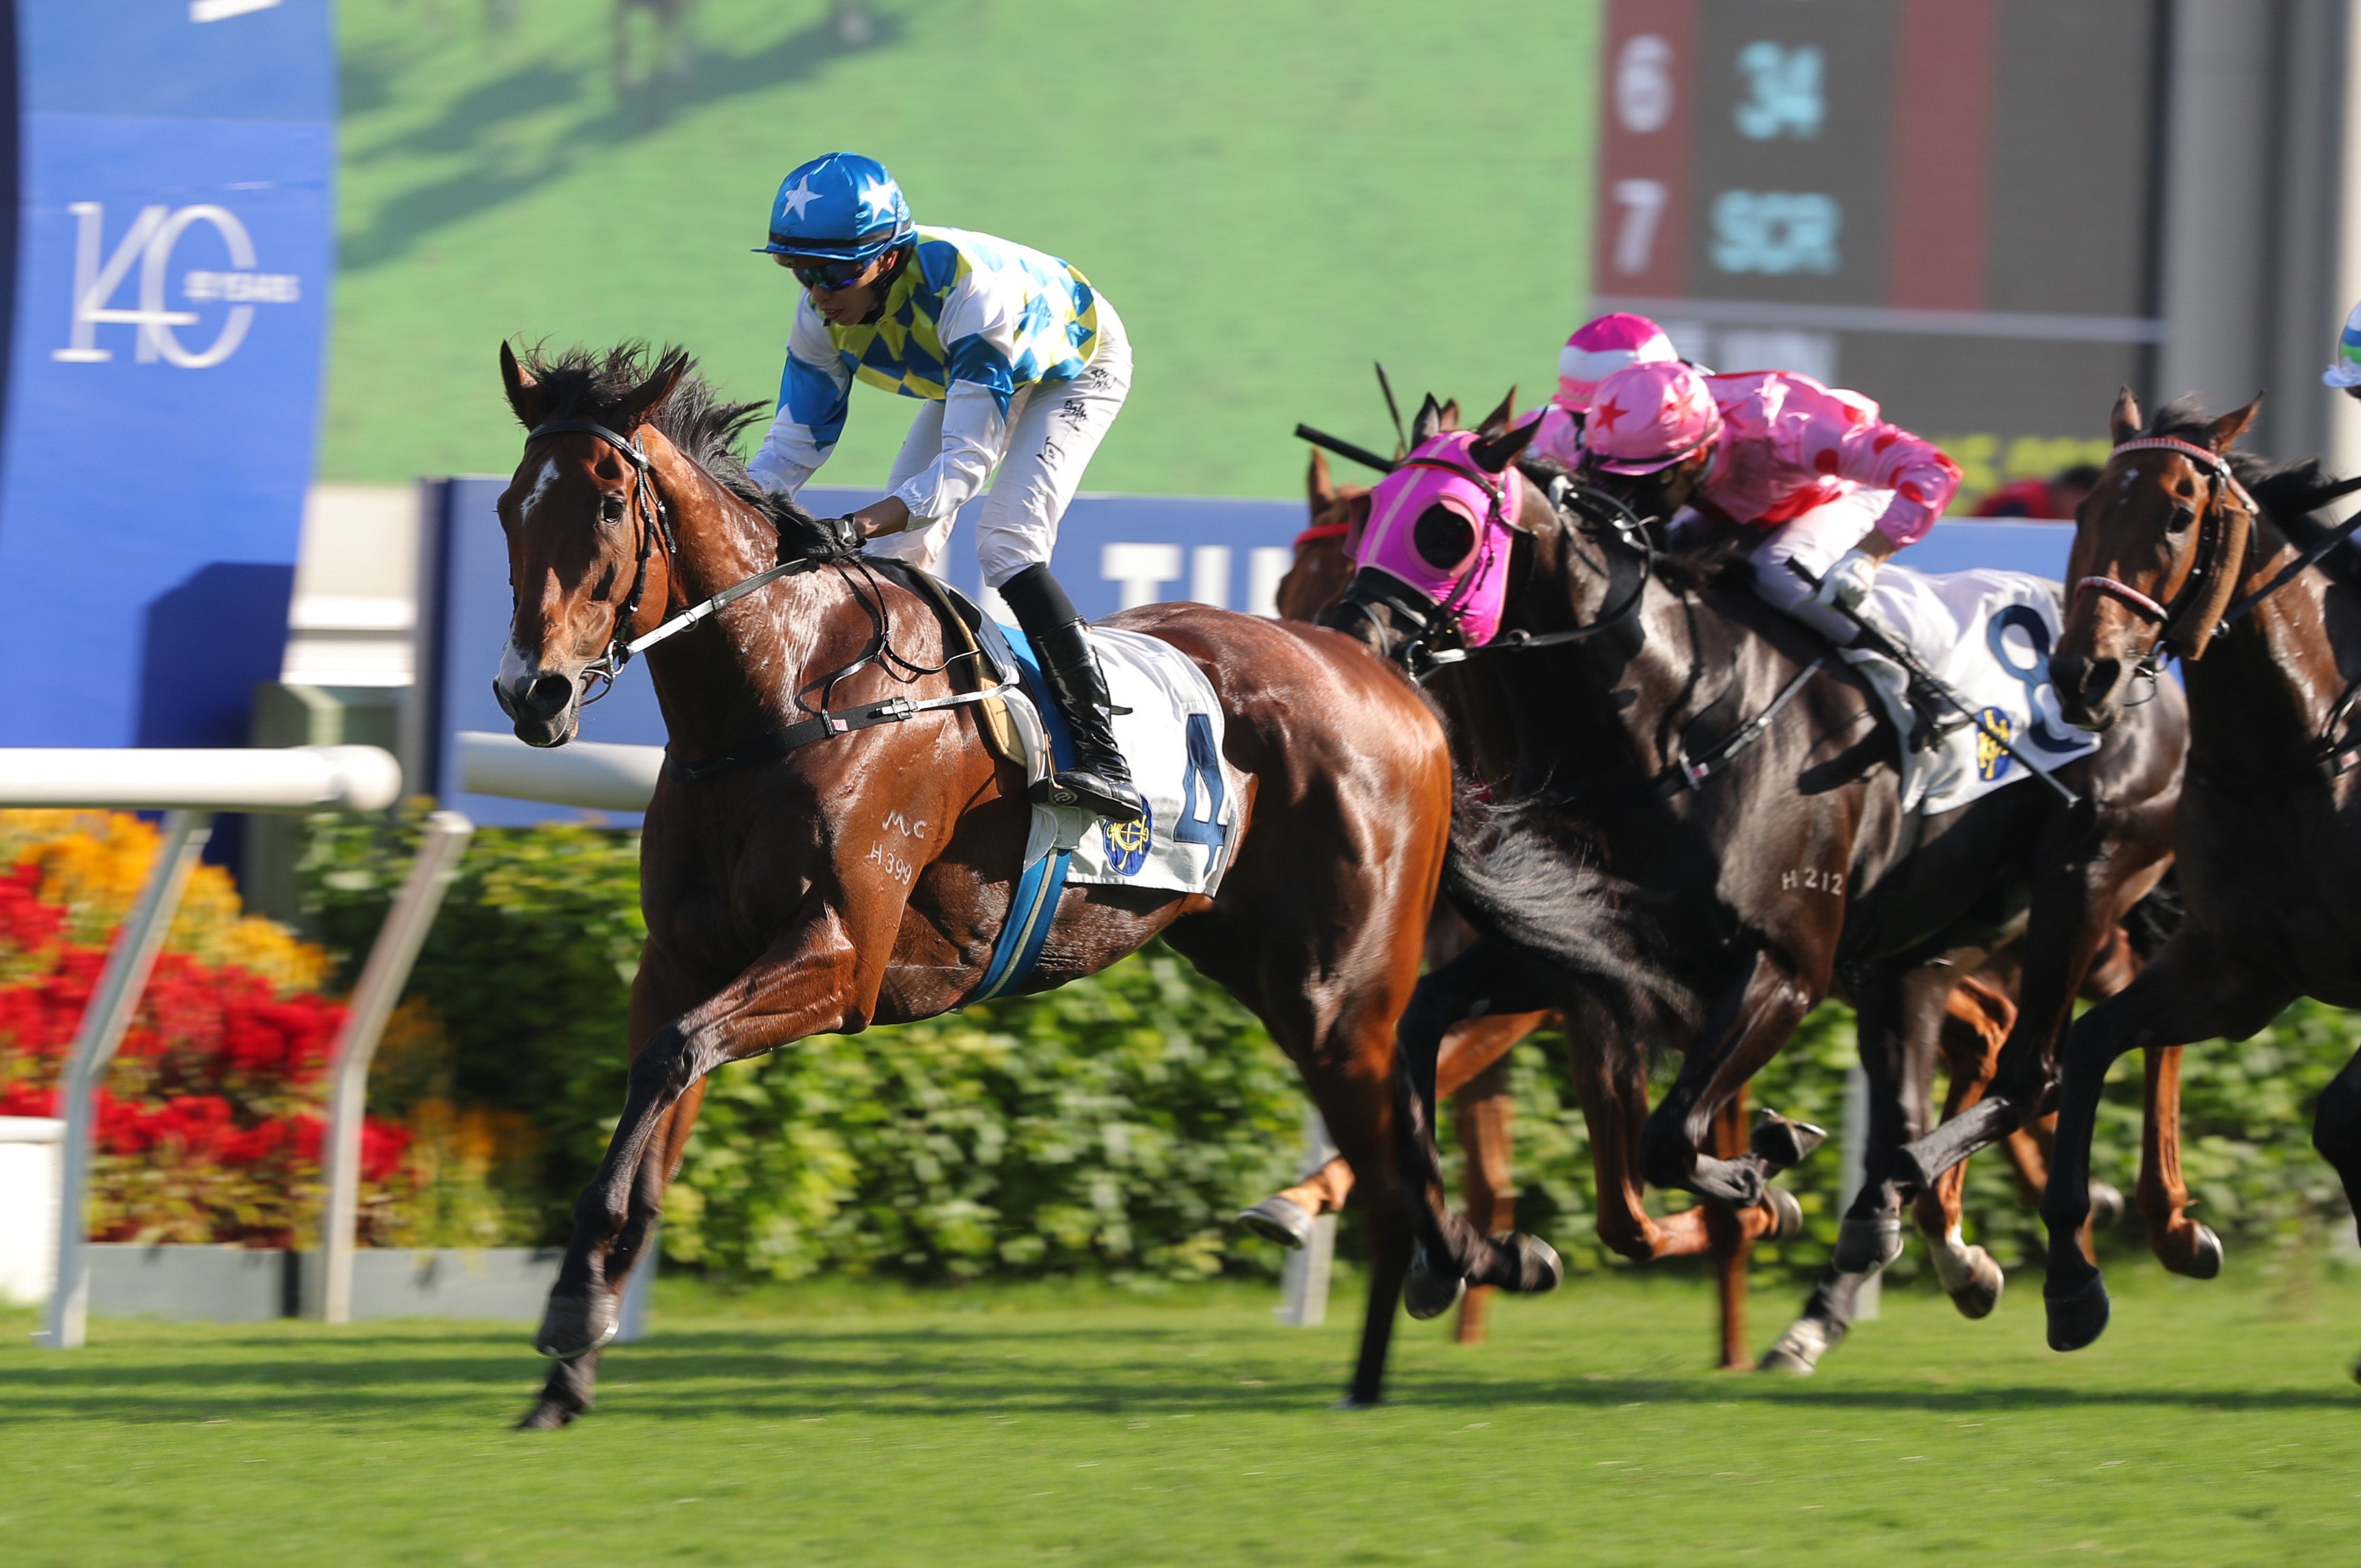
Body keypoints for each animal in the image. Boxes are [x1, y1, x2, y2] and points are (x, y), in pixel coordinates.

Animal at [486, 342, 1473, 1417]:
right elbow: (656, 1113)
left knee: (1392, 1147)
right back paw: (1451, 1279)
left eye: (608, 505)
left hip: (1341, 986)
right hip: (1273, 975)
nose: (531, 691)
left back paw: (1398, 1343)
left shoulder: (841, 958)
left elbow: (672, 1058)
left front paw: (569, 1313)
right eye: (506, 507)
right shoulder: (680, 959)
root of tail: (1381, 671)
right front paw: (568, 1368)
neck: (783, 697)